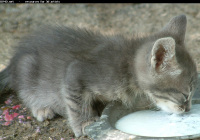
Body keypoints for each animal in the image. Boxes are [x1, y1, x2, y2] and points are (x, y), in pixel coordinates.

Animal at [0, 14, 197, 137]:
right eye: (185, 94)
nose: (188, 110)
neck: (126, 66)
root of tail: (15, 60)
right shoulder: (75, 71)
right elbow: (76, 103)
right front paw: (84, 123)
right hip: (28, 68)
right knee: (25, 91)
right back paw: (41, 108)